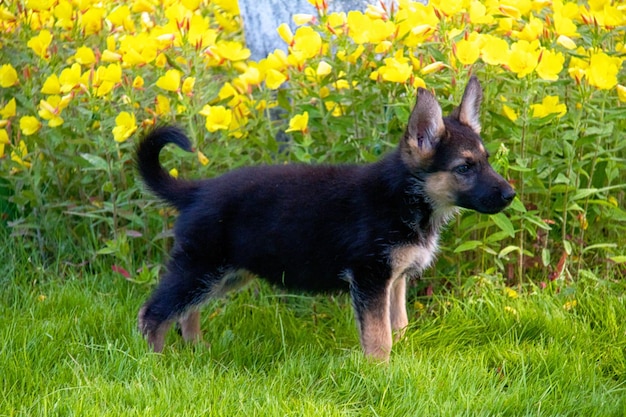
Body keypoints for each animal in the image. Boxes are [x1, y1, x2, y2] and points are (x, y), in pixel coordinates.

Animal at [135, 76, 512, 360]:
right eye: (464, 168)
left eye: (487, 160)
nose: (510, 195)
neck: (405, 196)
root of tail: (196, 191)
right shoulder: (370, 278)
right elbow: (379, 336)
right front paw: (380, 372)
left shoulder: (395, 280)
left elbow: (398, 325)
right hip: (200, 267)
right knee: (153, 312)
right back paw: (157, 362)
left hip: (224, 274)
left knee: (186, 311)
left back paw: (197, 351)